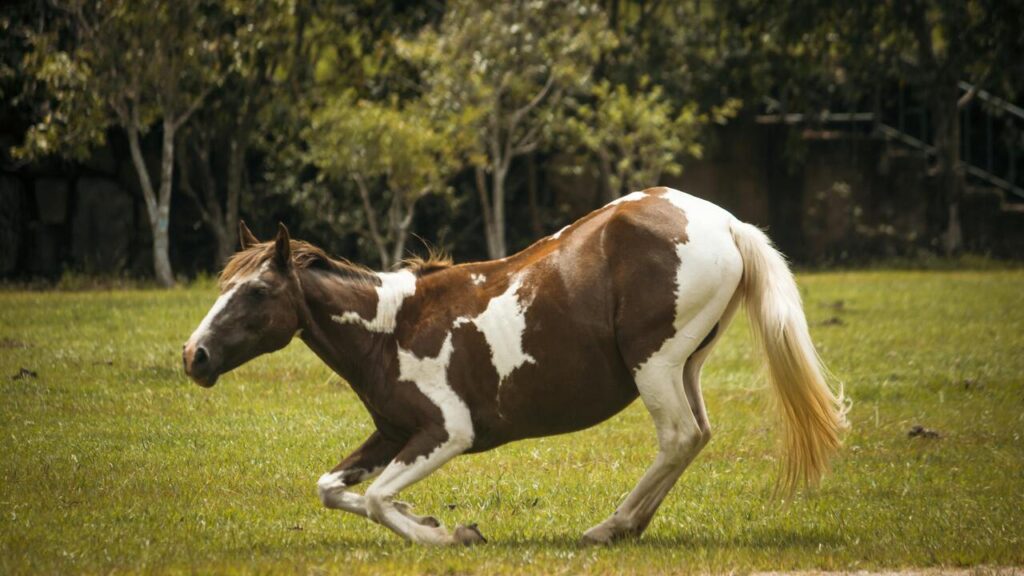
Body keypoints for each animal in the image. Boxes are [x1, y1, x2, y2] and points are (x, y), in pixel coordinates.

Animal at [182, 186, 848, 546]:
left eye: (257, 292)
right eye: (223, 284)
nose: (195, 356)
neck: (390, 327)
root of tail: (725, 222)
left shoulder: (445, 432)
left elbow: (373, 498)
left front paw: (449, 534)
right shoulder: (393, 433)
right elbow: (333, 489)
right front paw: (428, 517)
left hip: (655, 366)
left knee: (679, 437)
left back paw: (609, 526)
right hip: (686, 365)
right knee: (697, 435)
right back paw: (629, 525)